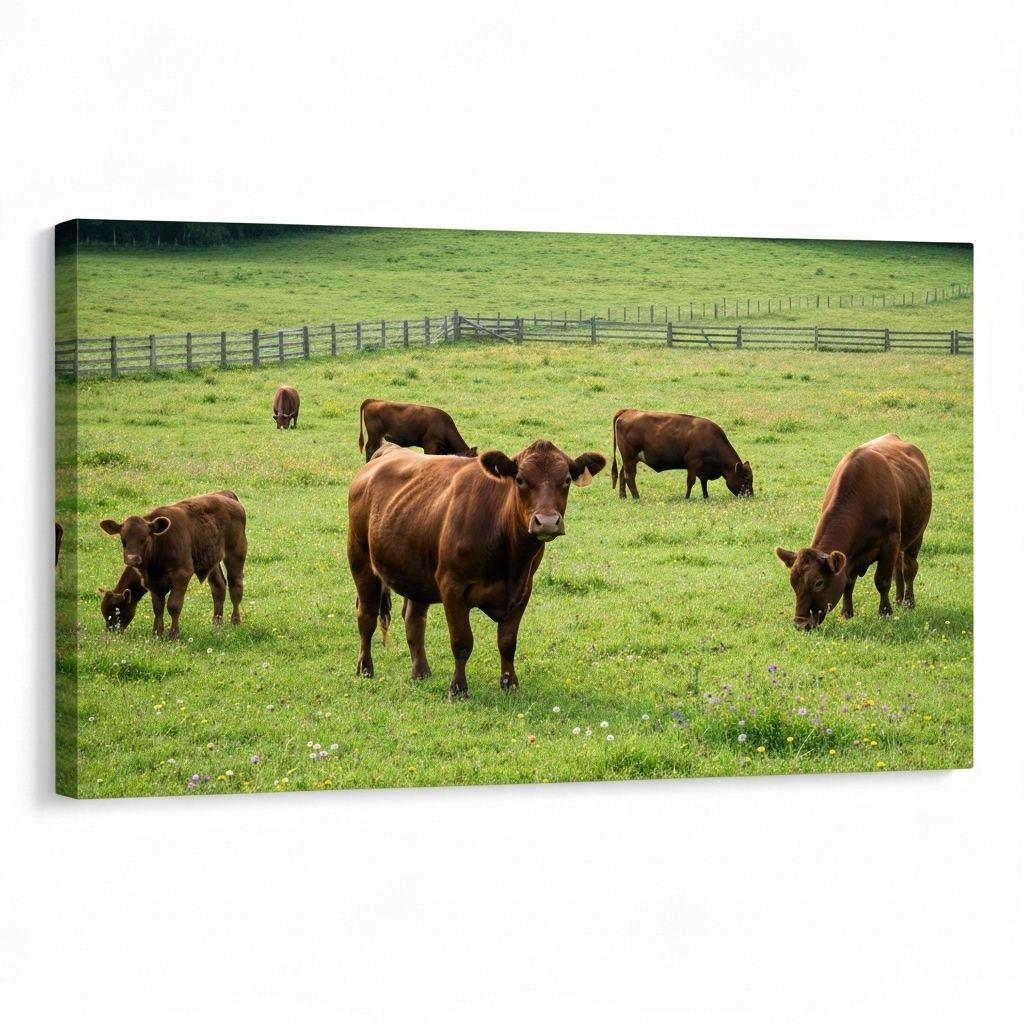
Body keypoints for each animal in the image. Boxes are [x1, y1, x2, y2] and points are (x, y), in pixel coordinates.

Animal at [99, 489, 247, 639]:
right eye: (123, 540)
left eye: (144, 539)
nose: (132, 559)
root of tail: (224, 493)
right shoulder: (151, 582)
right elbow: (158, 607)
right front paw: (157, 633)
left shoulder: (182, 574)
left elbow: (174, 605)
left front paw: (174, 634)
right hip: (212, 559)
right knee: (219, 588)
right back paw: (217, 624)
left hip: (236, 552)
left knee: (235, 585)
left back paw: (235, 621)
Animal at [347, 440, 606, 699]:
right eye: (520, 479)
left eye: (566, 479)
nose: (548, 522)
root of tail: (387, 451)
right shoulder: (452, 586)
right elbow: (462, 642)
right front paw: (458, 689)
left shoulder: (523, 589)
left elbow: (507, 642)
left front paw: (509, 683)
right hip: (361, 561)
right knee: (366, 616)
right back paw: (365, 668)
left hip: (416, 571)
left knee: (414, 619)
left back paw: (421, 672)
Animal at [610, 409, 753, 500]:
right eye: (747, 479)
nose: (750, 496)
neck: (713, 440)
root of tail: (628, 411)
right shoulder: (693, 463)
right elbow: (691, 482)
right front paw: (687, 497)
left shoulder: (704, 468)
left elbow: (704, 482)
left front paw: (706, 496)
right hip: (629, 458)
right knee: (629, 476)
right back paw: (636, 497)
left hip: (629, 460)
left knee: (623, 475)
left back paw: (623, 496)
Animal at [775, 434, 931, 630]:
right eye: (793, 582)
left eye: (819, 583)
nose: (800, 624)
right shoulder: (850, 555)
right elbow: (848, 583)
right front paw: (846, 613)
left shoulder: (890, 541)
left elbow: (882, 580)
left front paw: (885, 612)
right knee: (898, 568)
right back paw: (899, 600)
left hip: (917, 535)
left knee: (909, 567)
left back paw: (909, 602)